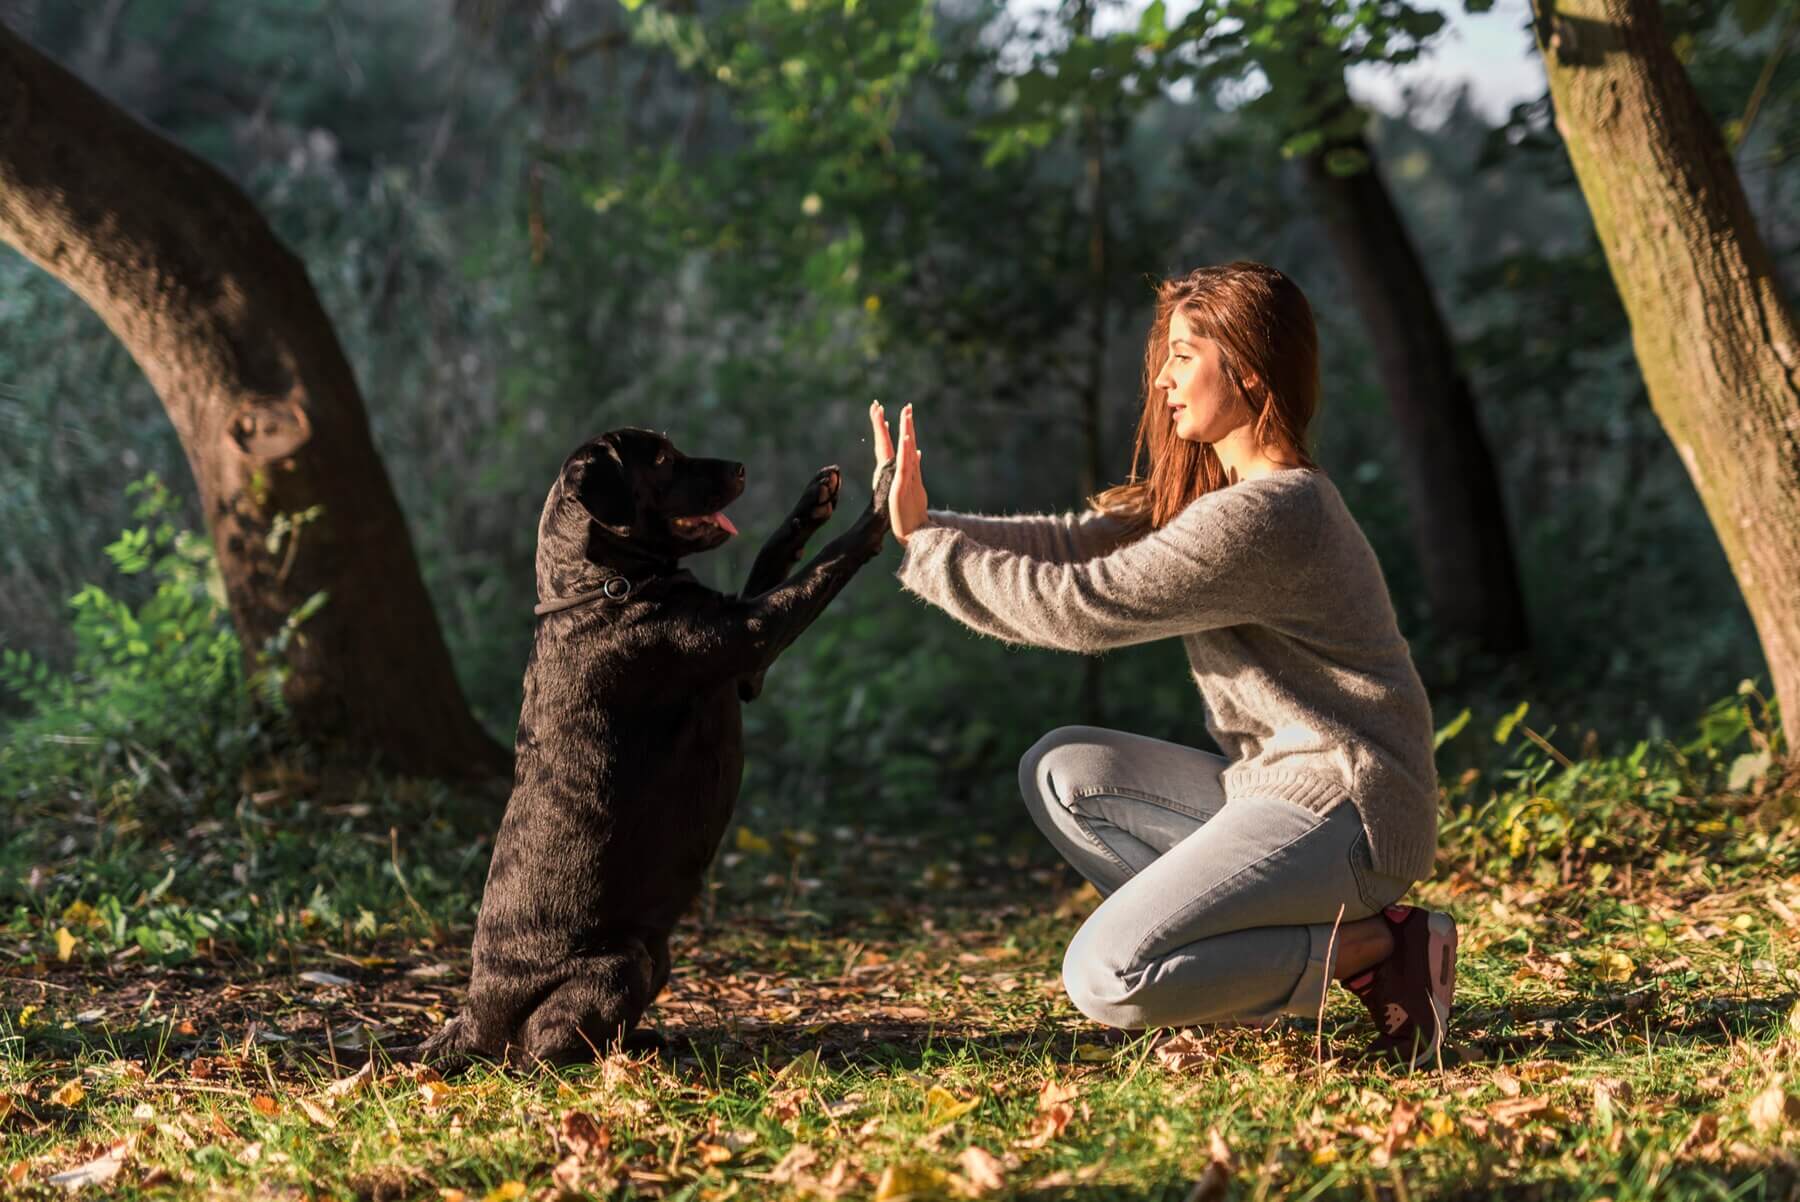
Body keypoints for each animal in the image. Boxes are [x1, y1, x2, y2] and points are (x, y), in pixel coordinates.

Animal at [423, 426, 900, 1065]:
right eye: (664, 460)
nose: (740, 466)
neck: (603, 588)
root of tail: (473, 1019)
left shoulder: (747, 671)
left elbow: (770, 559)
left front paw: (812, 501)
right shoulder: (753, 636)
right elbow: (825, 566)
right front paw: (881, 501)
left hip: (657, 954)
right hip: (621, 963)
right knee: (541, 1051)